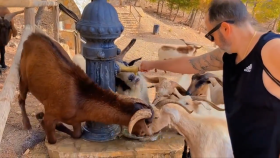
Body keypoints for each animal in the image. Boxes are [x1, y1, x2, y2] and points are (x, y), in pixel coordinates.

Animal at [18, 32, 154, 144]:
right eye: (146, 122)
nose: (144, 134)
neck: (79, 99)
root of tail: (32, 35)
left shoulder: (76, 121)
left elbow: (78, 134)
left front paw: (57, 125)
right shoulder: (51, 116)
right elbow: (52, 139)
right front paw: (41, 119)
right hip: (23, 77)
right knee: (21, 98)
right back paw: (26, 124)